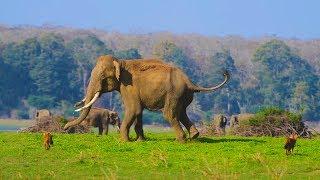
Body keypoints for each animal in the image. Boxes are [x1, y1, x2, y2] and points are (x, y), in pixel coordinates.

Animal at [64, 54, 230, 142]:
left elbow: (133, 109)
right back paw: (194, 136)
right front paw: (140, 141)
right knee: (182, 112)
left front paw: (125, 141)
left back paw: (180, 140)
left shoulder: (128, 86)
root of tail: (190, 82)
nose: (65, 128)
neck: (121, 61)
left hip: (174, 93)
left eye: (103, 77)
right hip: (182, 95)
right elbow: (139, 112)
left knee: (170, 114)